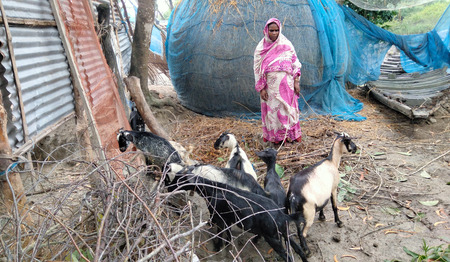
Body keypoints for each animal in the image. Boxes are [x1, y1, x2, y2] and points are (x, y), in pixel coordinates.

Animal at [167, 172, 308, 262]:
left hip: (273, 237)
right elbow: (228, 237)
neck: (212, 189)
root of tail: (282, 215)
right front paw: (228, 248)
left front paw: (217, 248)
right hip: (284, 232)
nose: (168, 187)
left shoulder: (219, 218)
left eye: (179, 180)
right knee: (299, 249)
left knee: (288, 256)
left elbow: (219, 234)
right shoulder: (228, 220)